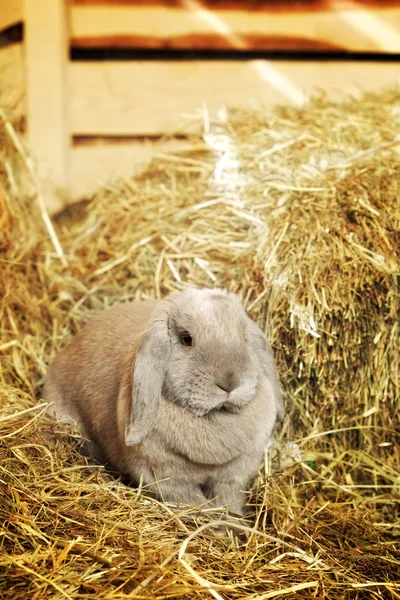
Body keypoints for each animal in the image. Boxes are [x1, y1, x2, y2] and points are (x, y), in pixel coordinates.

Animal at [43, 288, 284, 516]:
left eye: (243, 337)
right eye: (186, 339)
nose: (230, 383)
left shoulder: (232, 478)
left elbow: (227, 502)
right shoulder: (170, 481)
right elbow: (197, 505)